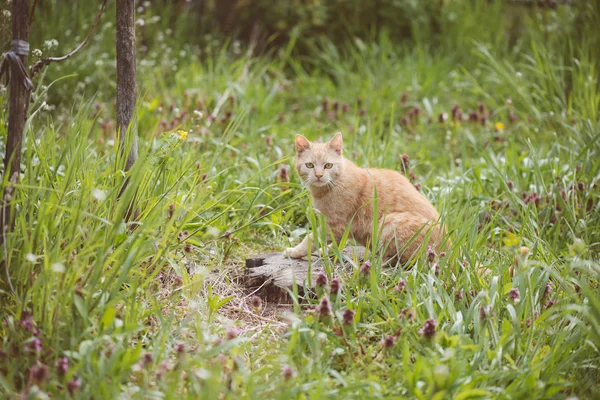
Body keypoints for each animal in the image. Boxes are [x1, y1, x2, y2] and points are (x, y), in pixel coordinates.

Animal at [284, 133, 442, 264]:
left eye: (328, 165)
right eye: (309, 165)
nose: (318, 175)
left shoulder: (335, 225)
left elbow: (311, 239)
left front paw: (295, 251)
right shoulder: (339, 228)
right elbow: (336, 242)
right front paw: (327, 251)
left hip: (389, 222)